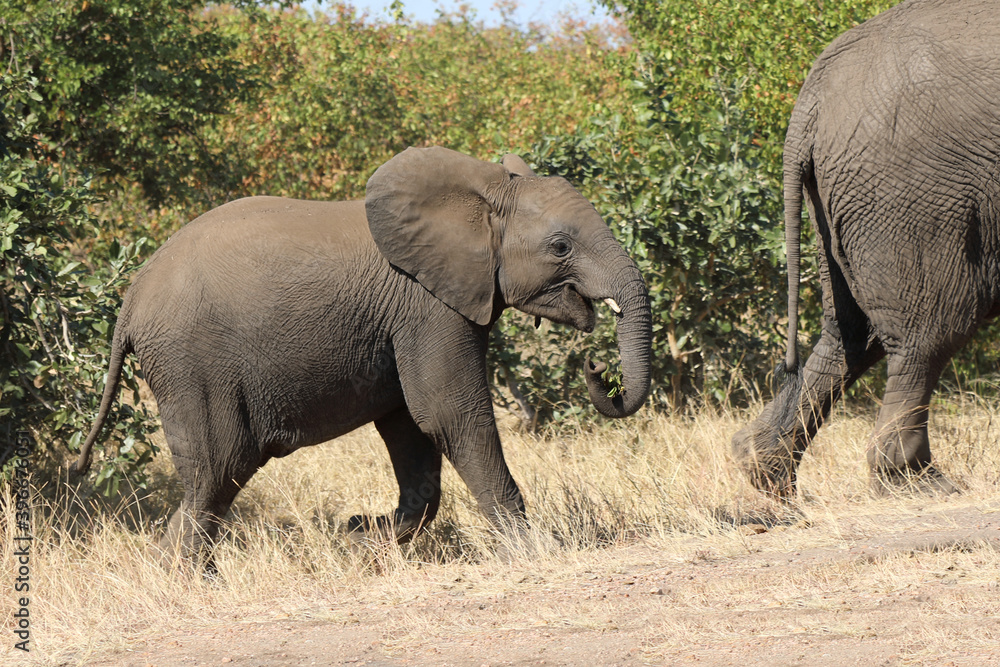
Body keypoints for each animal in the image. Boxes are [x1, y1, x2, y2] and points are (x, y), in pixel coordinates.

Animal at [73, 146, 652, 558]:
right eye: (561, 247)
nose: (595, 365)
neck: (482, 194)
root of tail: (128, 301)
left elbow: (412, 427)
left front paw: (359, 537)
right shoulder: (428, 306)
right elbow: (449, 413)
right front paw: (533, 553)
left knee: (214, 480)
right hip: (191, 364)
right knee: (217, 470)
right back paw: (188, 578)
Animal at [732, 0, 1000, 497]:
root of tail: (809, 106)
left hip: (841, 201)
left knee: (851, 333)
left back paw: (765, 472)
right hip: (911, 192)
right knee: (930, 330)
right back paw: (919, 482)